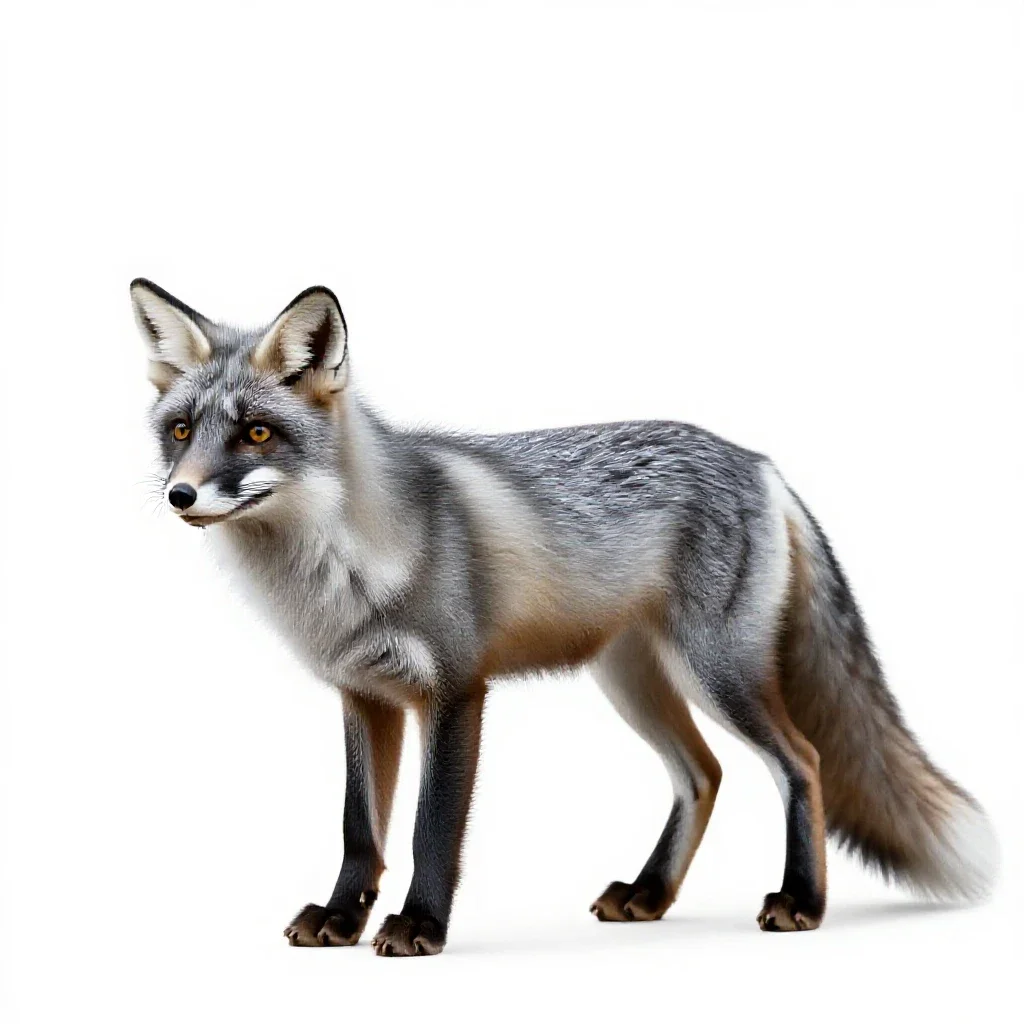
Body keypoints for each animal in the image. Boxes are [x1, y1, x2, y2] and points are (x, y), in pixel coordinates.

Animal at [133, 278, 998, 956]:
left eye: (256, 432)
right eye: (181, 431)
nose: (180, 495)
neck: (342, 571)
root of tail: (756, 460)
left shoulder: (455, 689)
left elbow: (429, 829)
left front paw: (420, 927)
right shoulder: (363, 695)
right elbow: (359, 830)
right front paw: (343, 921)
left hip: (718, 673)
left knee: (803, 762)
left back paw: (803, 903)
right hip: (632, 682)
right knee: (704, 774)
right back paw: (650, 896)